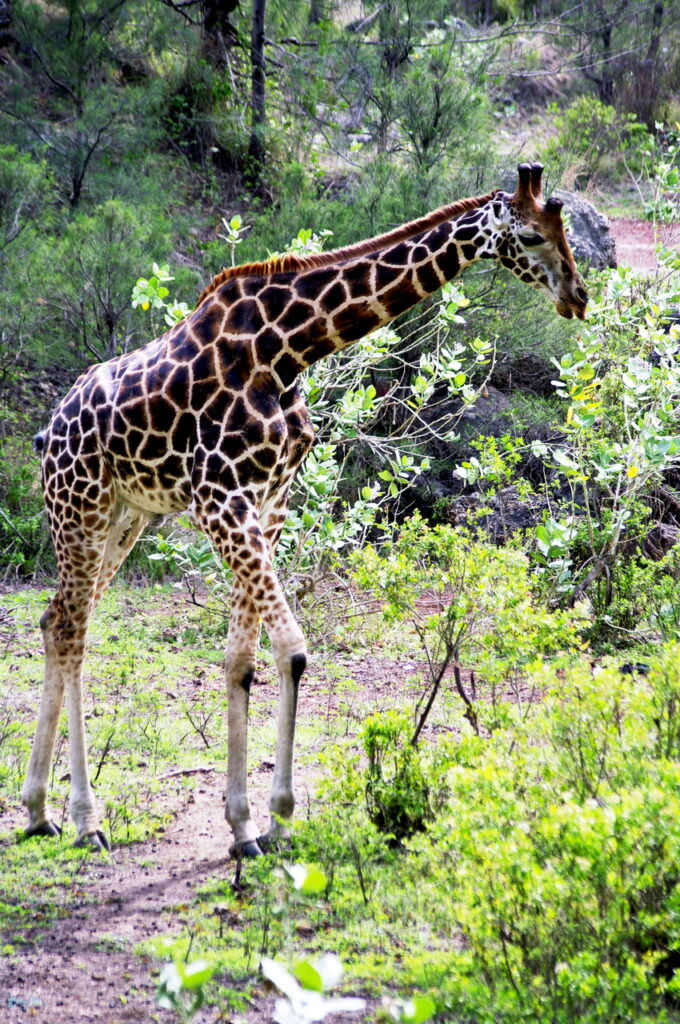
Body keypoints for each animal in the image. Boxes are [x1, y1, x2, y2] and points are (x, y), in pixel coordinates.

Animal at [23, 162, 587, 857]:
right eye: (533, 236)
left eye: (565, 232)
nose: (578, 297)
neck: (288, 350)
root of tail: (49, 429)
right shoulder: (221, 500)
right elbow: (291, 649)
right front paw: (277, 817)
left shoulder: (265, 500)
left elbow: (239, 660)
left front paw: (247, 826)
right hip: (79, 504)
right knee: (74, 630)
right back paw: (84, 819)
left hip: (128, 517)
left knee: (56, 620)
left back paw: (39, 810)